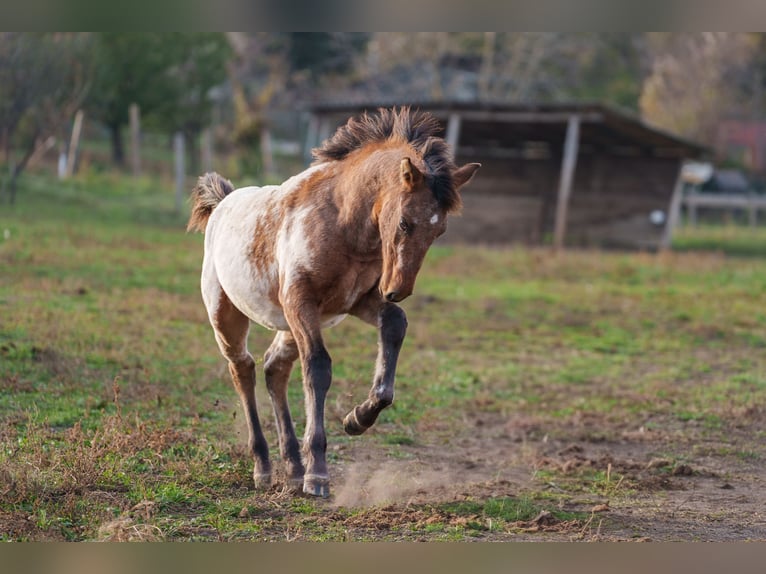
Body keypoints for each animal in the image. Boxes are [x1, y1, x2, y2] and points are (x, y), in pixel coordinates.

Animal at [188, 109, 480, 500]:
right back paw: (264, 468)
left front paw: (358, 418)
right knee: (243, 369)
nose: (398, 289)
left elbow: (395, 324)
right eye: (405, 222)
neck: (343, 223)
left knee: (274, 368)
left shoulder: (356, 301)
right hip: (229, 315)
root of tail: (223, 203)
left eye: (440, 231)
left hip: (289, 324)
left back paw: (293, 469)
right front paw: (319, 474)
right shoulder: (301, 301)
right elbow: (318, 367)